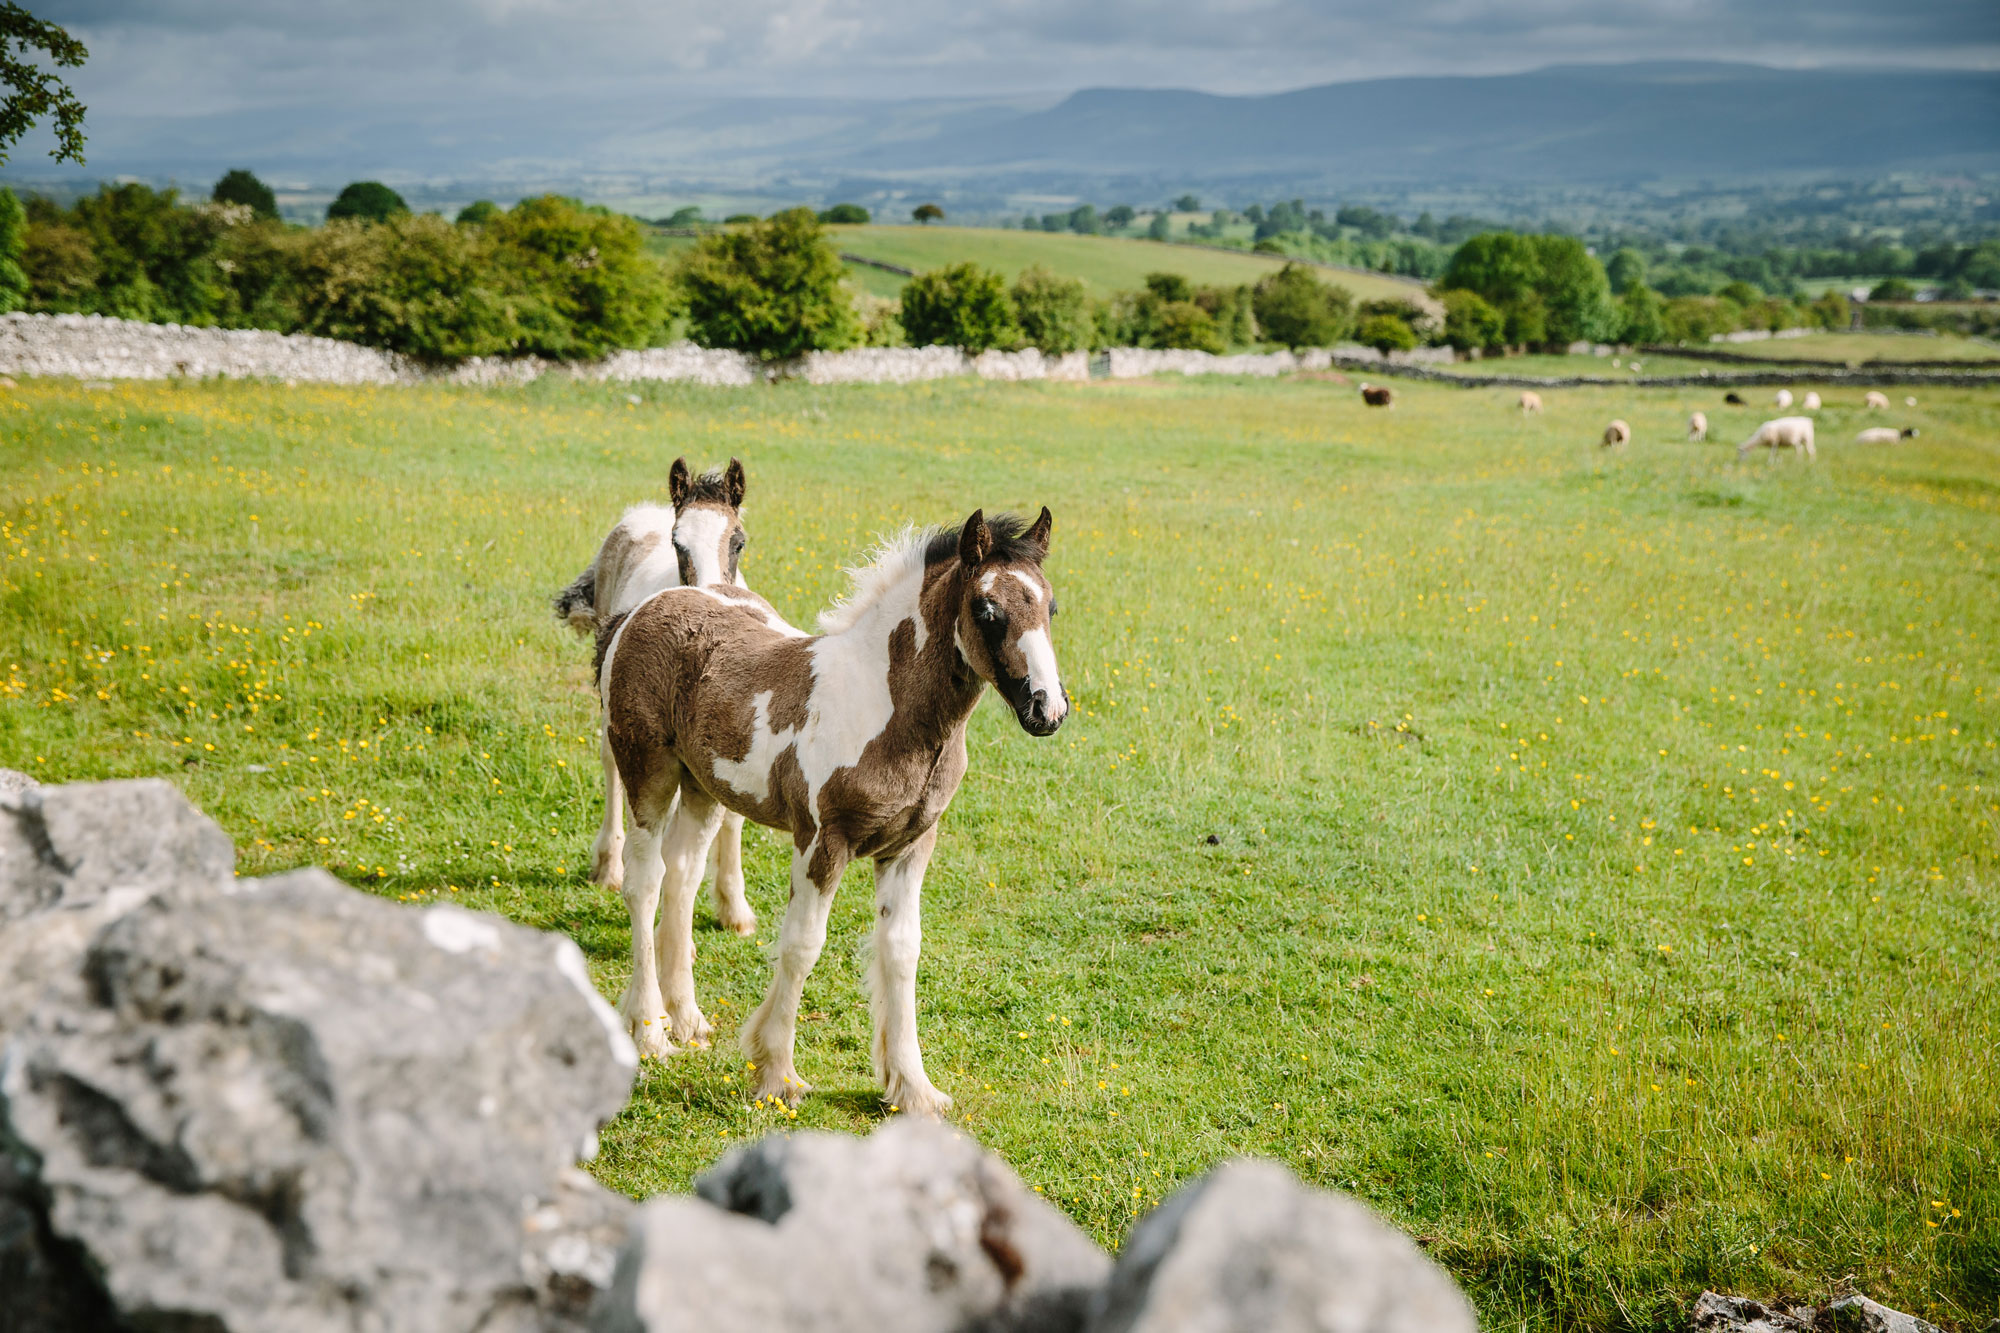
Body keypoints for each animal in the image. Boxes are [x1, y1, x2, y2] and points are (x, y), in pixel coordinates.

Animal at [556, 456, 764, 932]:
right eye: (677, 543)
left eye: (738, 542)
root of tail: (640, 513)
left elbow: (732, 814)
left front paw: (734, 908)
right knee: (612, 766)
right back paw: (609, 865)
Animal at [592, 508, 1064, 1112]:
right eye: (987, 610)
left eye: (1050, 607)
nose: (1047, 709)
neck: (886, 709)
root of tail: (645, 608)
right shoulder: (822, 840)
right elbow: (801, 946)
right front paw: (777, 1074)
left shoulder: (911, 846)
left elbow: (901, 950)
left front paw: (913, 1087)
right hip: (647, 769)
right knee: (645, 883)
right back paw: (650, 1033)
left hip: (703, 788)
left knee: (682, 878)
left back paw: (688, 1021)